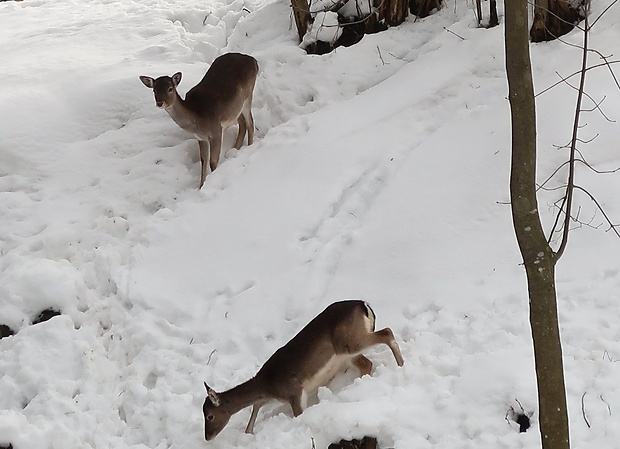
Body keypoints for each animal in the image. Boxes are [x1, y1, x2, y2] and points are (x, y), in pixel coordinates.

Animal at [139, 53, 258, 188]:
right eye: (154, 90)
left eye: (170, 88)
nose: (160, 103)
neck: (197, 119)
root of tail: (253, 60)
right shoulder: (201, 137)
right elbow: (203, 160)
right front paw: (201, 186)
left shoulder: (216, 131)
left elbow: (213, 161)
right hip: (236, 108)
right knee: (243, 123)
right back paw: (235, 150)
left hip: (247, 96)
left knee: (250, 123)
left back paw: (249, 147)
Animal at [205, 300, 406, 440]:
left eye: (209, 416)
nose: (208, 437)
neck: (268, 385)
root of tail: (364, 305)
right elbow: (256, 405)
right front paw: (248, 432)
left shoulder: (294, 391)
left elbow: (295, 413)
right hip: (347, 353)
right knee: (367, 363)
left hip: (348, 341)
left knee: (387, 332)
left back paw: (401, 365)